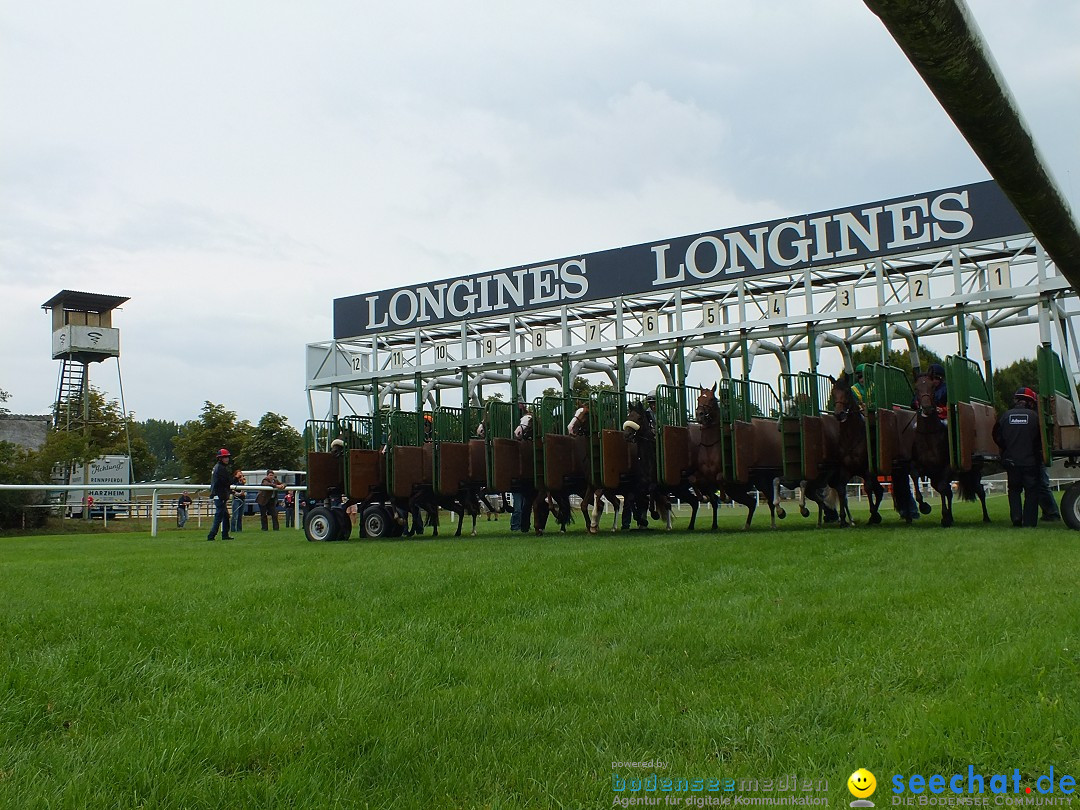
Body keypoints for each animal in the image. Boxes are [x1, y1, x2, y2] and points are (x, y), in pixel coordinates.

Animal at [825, 373, 885, 527]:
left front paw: (873, 515)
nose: (839, 414)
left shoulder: (867, 469)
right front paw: (843, 520)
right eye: (833, 393)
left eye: (847, 392)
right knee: (880, 491)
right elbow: (841, 489)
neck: (851, 437)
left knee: (878, 490)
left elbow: (868, 489)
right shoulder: (845, 469)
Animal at [907, 373, 989, 527]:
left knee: (980, 491)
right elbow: (915, 478)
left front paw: (944, 516)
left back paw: (986, 517)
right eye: (916, 388)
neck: (929, 435)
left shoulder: (947, 467)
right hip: (935, 476)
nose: (927, 408)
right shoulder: (919, 466)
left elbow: (943, 488)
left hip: (973, 473)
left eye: (933, 387)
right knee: (948, 492)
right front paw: (925, 507)